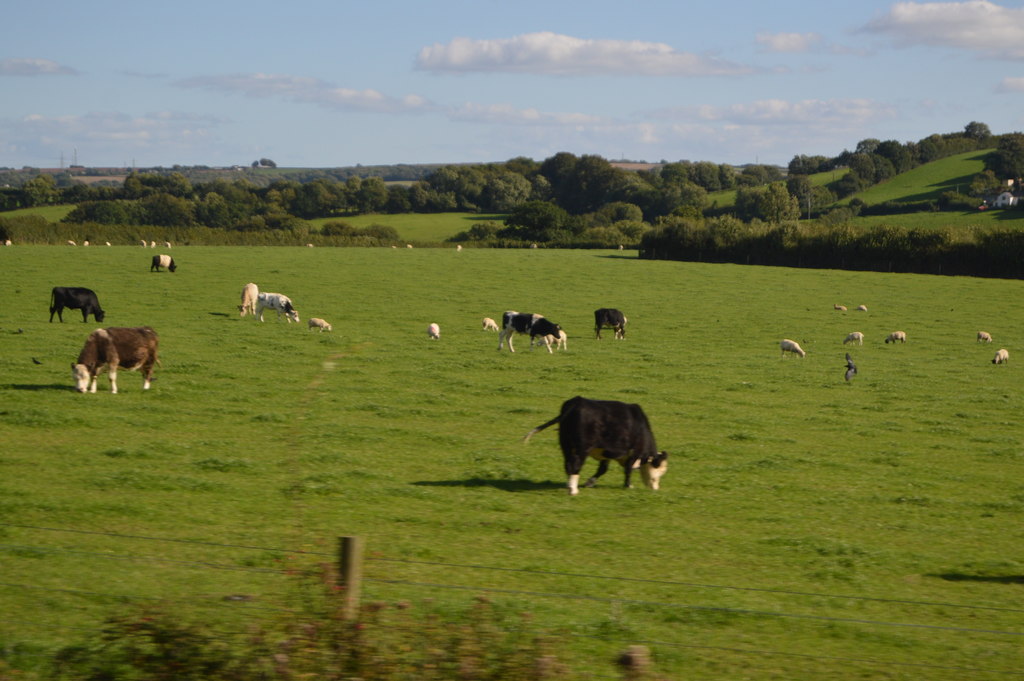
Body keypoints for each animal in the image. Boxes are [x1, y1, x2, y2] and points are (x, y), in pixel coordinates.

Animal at [524, 393, 667, 493]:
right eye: (659, 471)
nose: (656, 488)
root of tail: (576, 403)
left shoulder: (607, 452)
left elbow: (603, 469)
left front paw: (589, 482)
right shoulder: (633, 452)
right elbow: (628, 469)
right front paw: (628, 485)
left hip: (565, 444)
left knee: (568, 464)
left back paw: (569, 485)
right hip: (582, 448)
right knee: (575, 464)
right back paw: (573, 490)